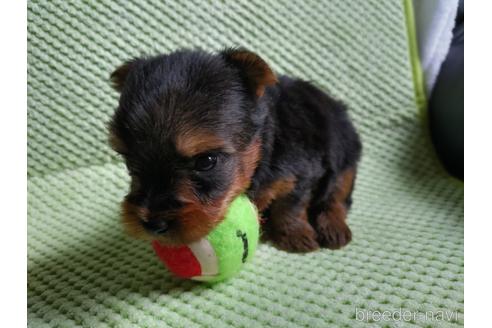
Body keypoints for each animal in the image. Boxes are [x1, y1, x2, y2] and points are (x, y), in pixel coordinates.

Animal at [108, 48, 362, 254]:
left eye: (206, 161)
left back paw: (333, 228)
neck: (260, 157)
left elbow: (291, 204)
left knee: (337, 195)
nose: (152, 225)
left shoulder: (303, 172)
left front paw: (294, 234)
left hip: (345, 156)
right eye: (129, 161)